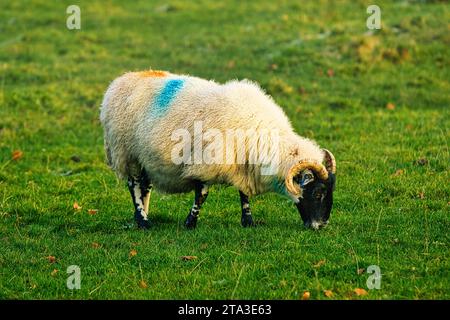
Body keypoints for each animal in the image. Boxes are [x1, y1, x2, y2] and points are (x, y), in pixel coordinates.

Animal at [100, 70, 336, 230]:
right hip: (126, 152)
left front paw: (248, 220)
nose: (322, 225)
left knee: (145, 186)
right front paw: (190, 223)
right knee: (133, 185)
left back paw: (142, 215)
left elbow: (243, 194)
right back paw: (143, 221)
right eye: (318, 192)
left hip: (145, 157)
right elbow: (202, 195)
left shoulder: (243, 165)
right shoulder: (206, 161)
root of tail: (119, 81)